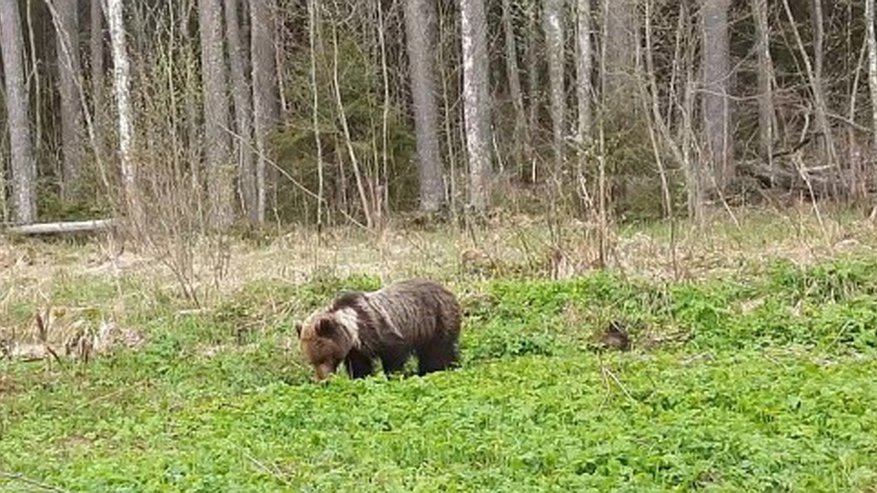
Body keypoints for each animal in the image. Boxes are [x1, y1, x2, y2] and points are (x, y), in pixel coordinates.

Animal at [294, 276, 462, 380]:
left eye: (324, 359)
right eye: (312, 362)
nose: (324, 381)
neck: (356, 332)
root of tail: (447, 290)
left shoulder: (383, 330)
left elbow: (394, 357)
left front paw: (393, 376)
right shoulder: (357, 350)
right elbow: (359, 367)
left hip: (437, 320)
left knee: (440, 351)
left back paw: (442, 368)